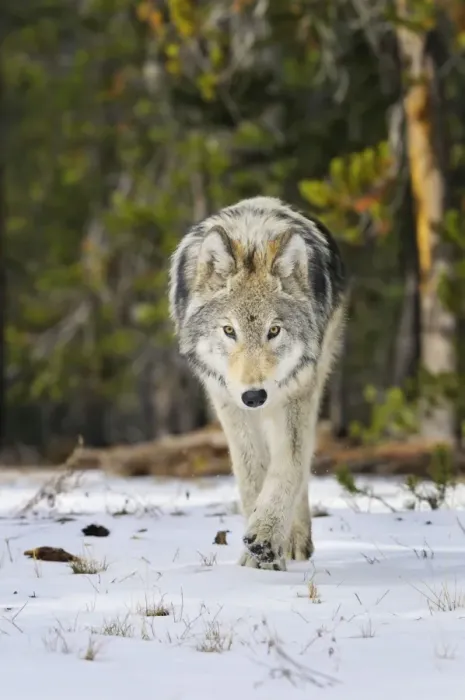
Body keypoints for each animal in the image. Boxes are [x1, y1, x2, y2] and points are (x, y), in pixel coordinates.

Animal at [169, 196, 347, 570]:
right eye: (229, 330)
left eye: (274, 331)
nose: (254, 396)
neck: (251, 239)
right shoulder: (227, 401)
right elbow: (251, 475)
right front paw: (256, 557)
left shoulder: (296, 394)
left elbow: (288, 468)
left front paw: (266, 539)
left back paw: (294, 541)